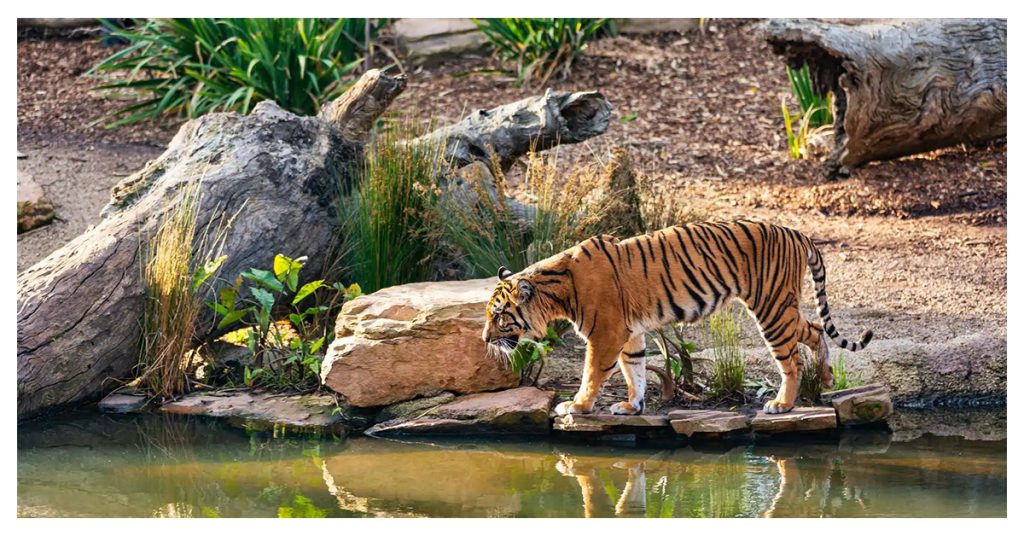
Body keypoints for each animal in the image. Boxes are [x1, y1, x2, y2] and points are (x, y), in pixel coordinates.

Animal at [479, 220, 872, 418]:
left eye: (498, 316)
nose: (483, 339)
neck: (557, 289)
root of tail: (795, 231)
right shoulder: (629, 334)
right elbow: (634, 371)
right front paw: (632, 405)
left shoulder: (605, 334)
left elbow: (592, 374)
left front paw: (576, 405)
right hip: (783, 306)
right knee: (816, 329)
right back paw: (826, 377)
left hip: (770, 307)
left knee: (790, 360)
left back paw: (782, 404)